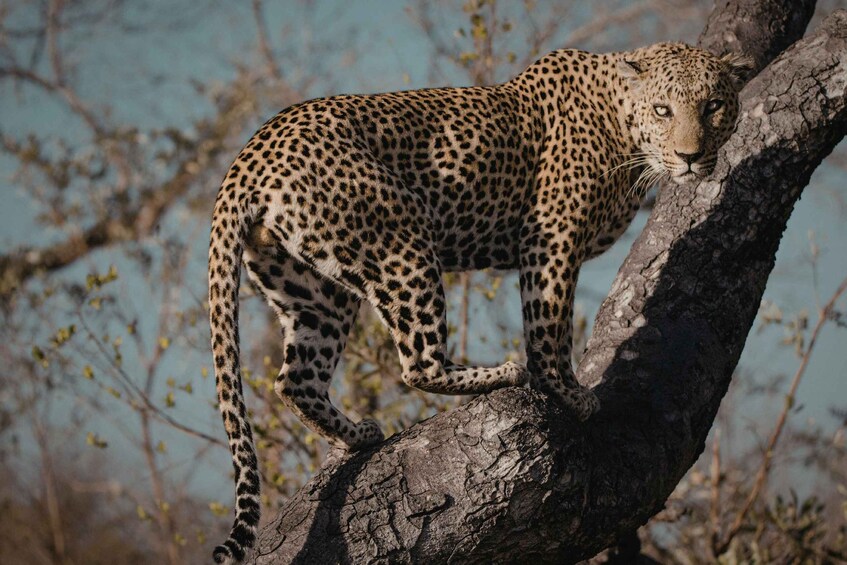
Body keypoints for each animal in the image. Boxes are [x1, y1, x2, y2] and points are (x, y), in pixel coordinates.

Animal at [207, 41, 751, 563]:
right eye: (662, 109)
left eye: (713, 106)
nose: (689, 156)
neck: (622, 124)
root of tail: (248, 156)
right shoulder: (551, 234)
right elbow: (548, 323)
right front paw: (567, 393)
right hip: (401, 236)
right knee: (419, 363)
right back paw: (501, 373)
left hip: (314, 290)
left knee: (295, 380)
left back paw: (358, 436)